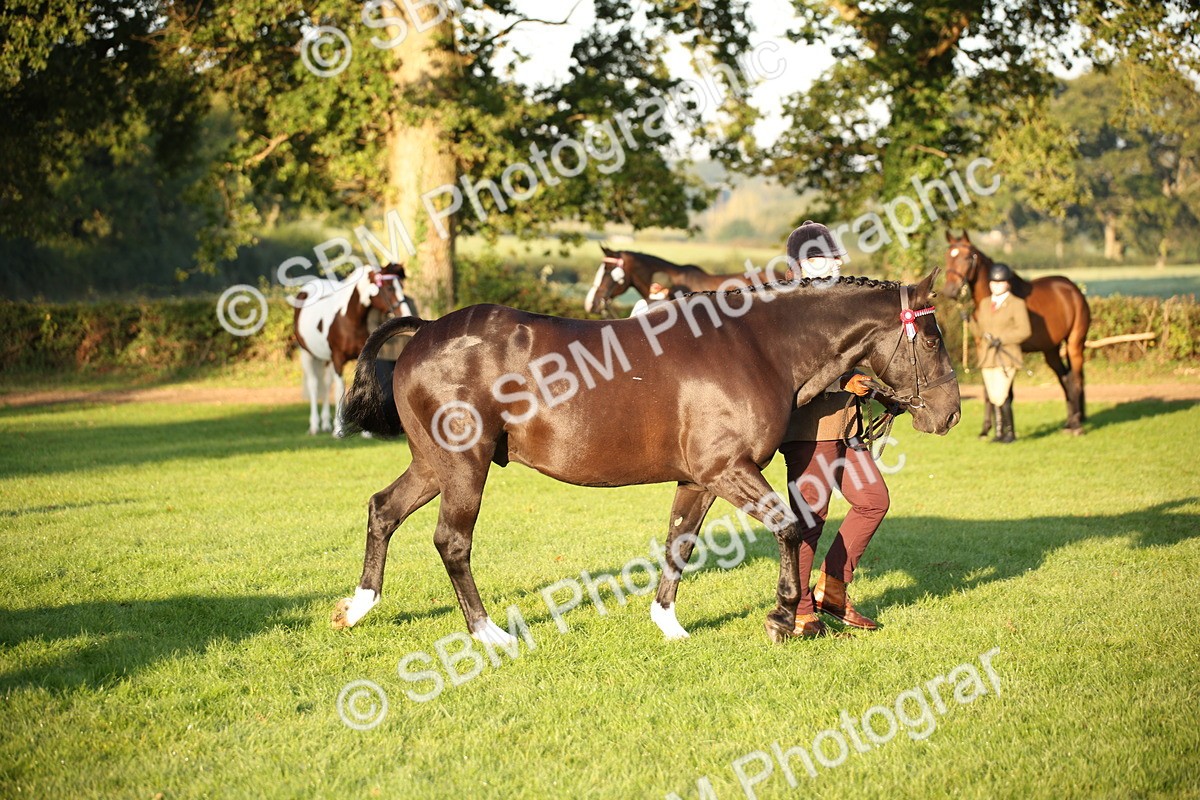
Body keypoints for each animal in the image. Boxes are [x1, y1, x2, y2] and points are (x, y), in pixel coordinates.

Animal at [293, 264, 412, 436]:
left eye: (401, 286)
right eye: (389, 287)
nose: (406, 313)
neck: (347, 317)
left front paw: (366, 432)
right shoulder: (337, 359)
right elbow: (339, 390)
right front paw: (338, 429)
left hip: (326, 359)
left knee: (326, 384)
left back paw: (325, 424)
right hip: (307, 354)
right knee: (314, 385)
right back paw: (315, 426)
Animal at [332, 270, 961, 644]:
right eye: (932, 339)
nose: (950, 413)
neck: (757, 347)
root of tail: (425, 331)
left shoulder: (700, 480)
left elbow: (679, 542)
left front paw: (668, 623)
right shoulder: (728, 471)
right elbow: (786, 527)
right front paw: (783, 617)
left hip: (433, 463)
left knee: (383, 510)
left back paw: (358, 606)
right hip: (465, 464)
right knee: (452, 542)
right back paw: (489, 633)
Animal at [944, 232, 1091, 434]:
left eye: (967, 257)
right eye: (947, 256)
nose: (950, 290)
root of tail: (1073, 289)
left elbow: (1006, 391)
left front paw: (1004, 431)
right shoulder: (985, 349)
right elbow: (988, 389)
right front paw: (986, 430)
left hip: (1075, 343)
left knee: (1075, 380)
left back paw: (1076, 425)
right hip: (1051, 350)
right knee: (1065, 379)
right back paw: (1070, 422)